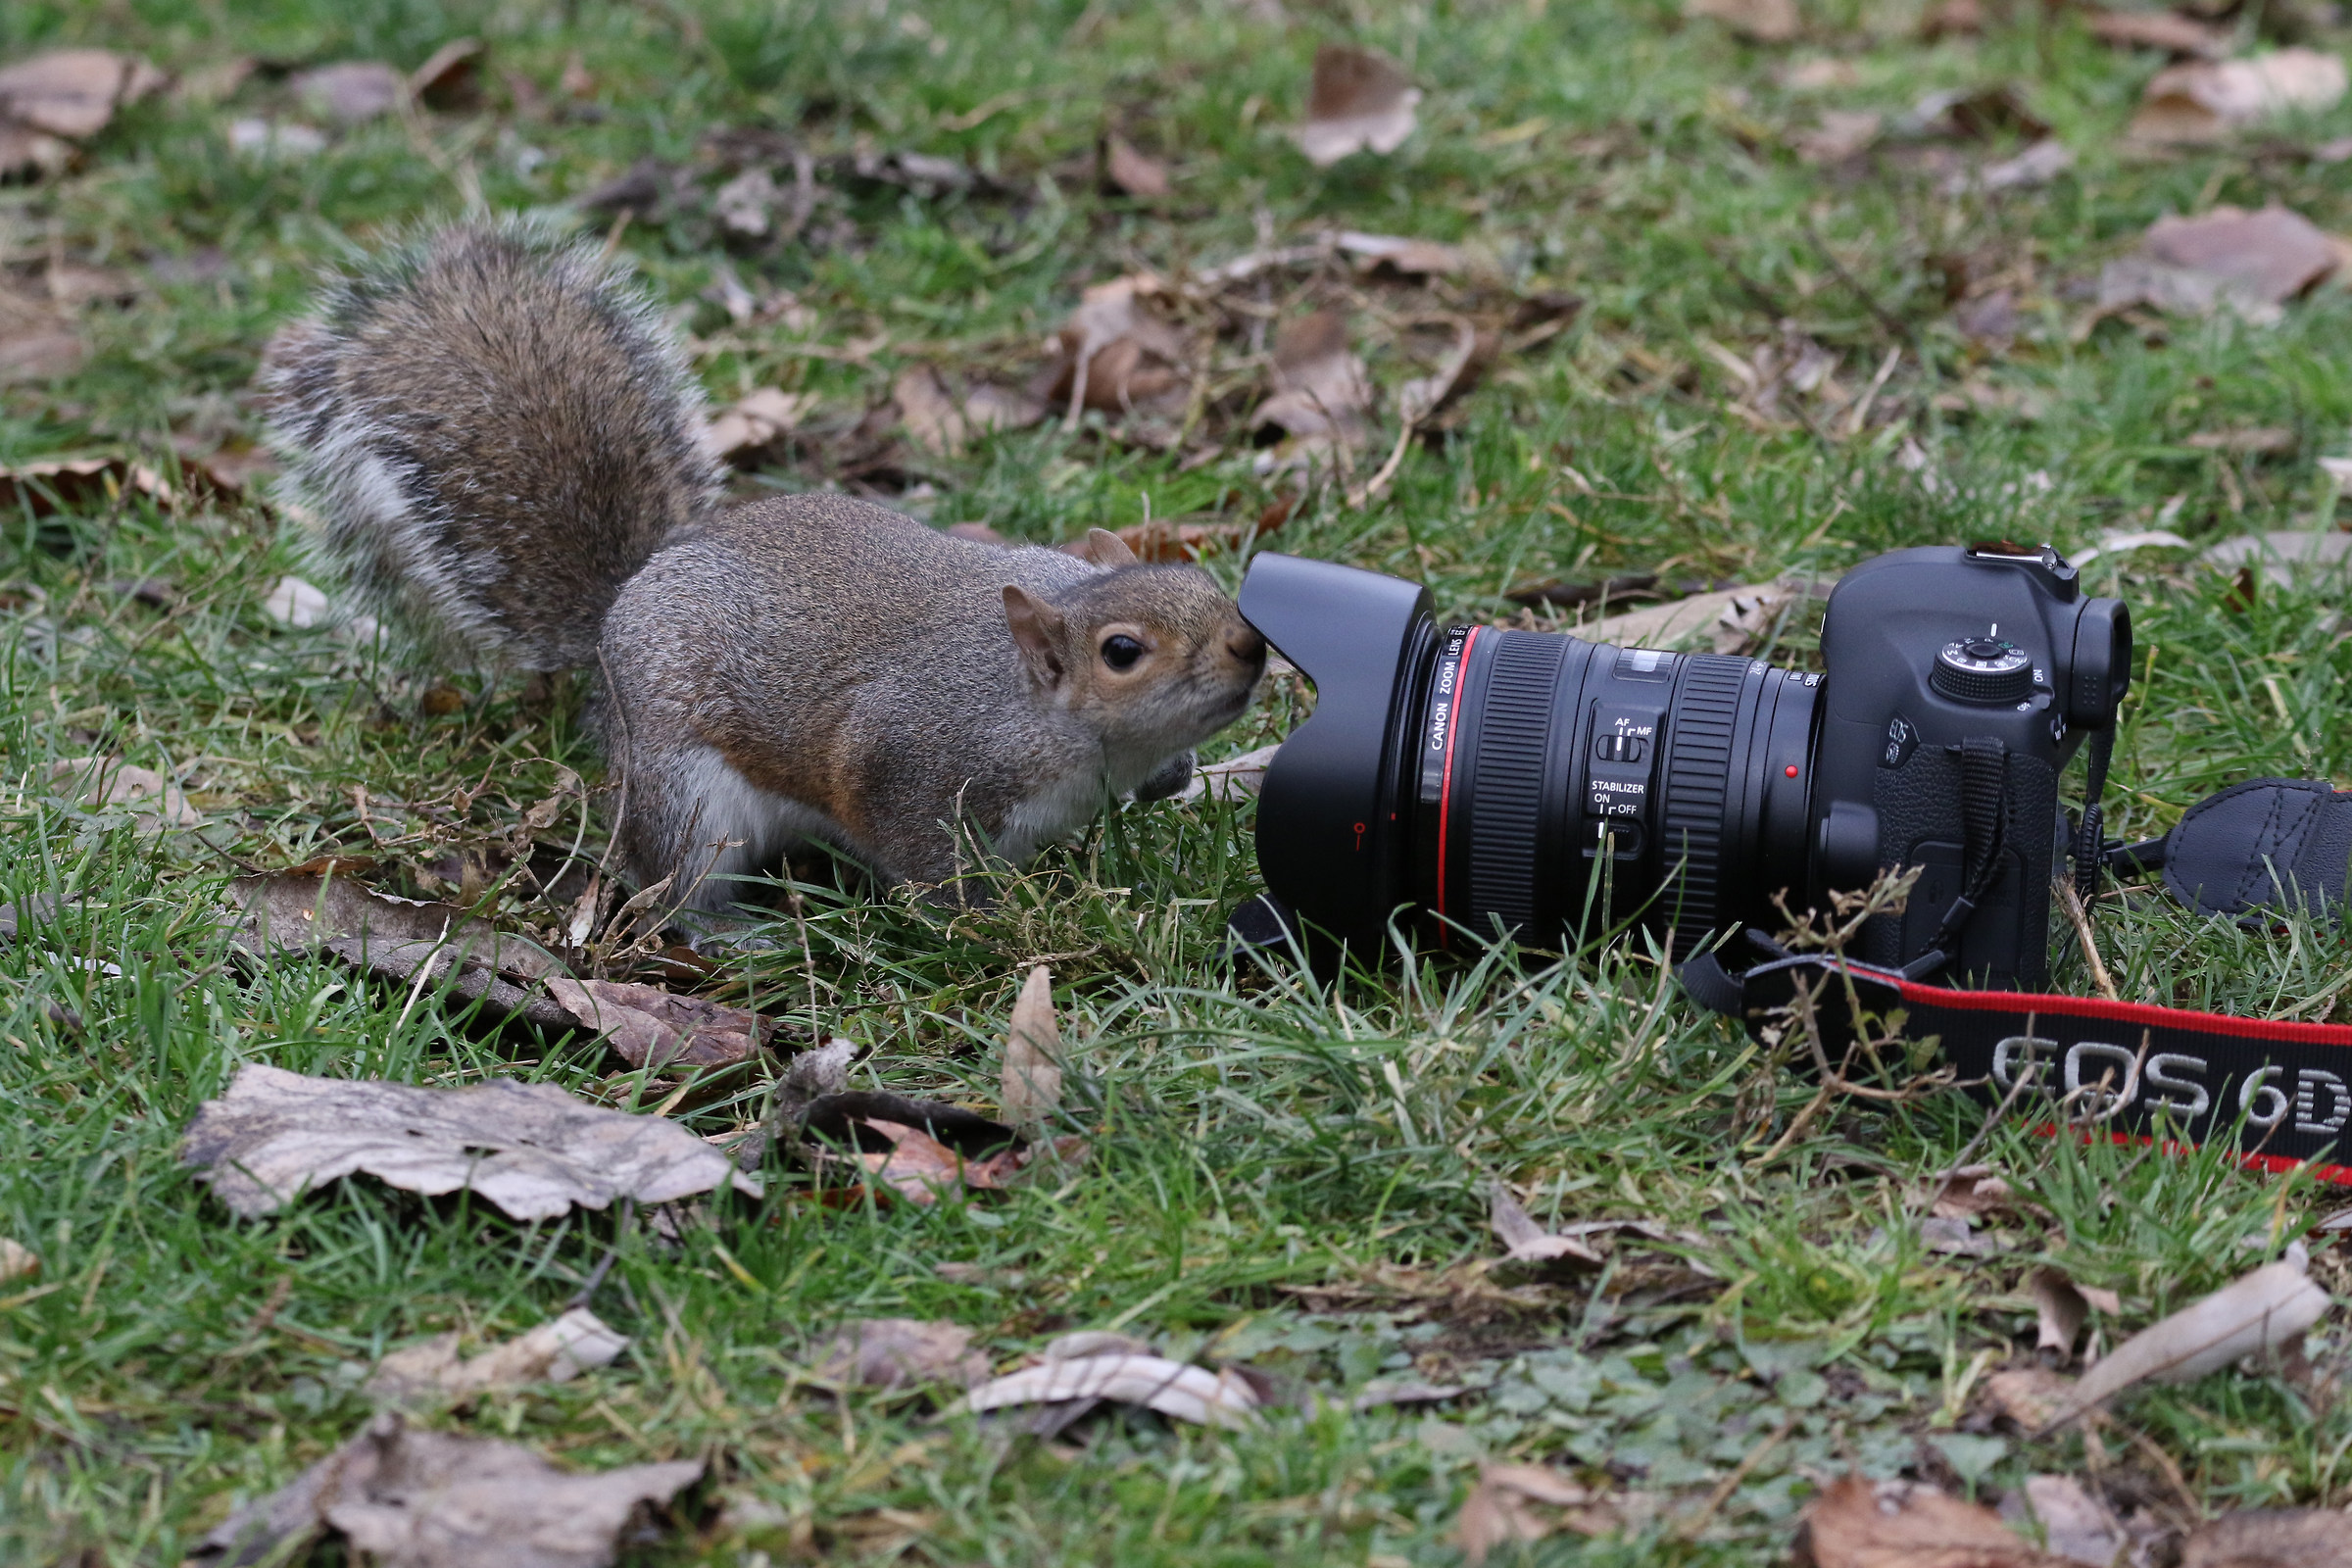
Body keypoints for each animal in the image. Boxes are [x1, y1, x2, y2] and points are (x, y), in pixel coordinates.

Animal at [261, 219, 1267, 911]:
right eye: (1122, 652)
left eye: (1203, 582)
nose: (1251, 649)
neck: (1034, 708)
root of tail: (623, 605)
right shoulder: (908, 763)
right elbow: (917, 856)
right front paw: (987, 920)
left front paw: (1170, 779)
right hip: (687, 794)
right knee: (670, 883)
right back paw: (728, 928)